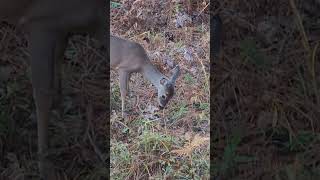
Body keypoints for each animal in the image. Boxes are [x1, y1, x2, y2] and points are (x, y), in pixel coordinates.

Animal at [0, 0, 107, 179]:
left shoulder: (62, 28)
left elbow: (58, 61)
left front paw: (62, 111)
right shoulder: (40, 20)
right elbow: (42, 94)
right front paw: (45, 167)